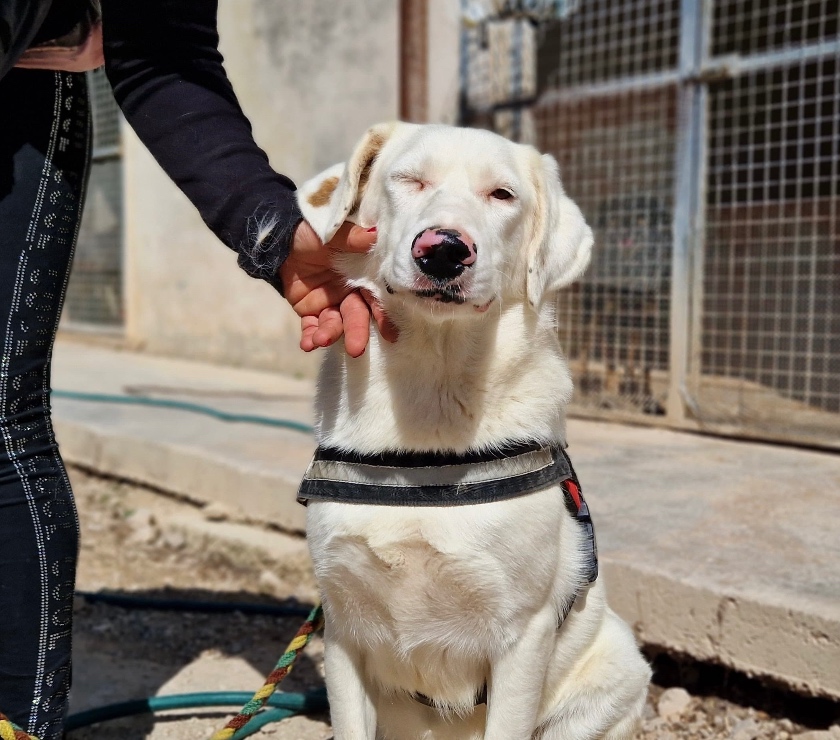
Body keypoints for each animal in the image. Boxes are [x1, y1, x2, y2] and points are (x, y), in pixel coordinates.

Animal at [296, 123, 648, 740]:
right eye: (409, 179)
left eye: (502, 195)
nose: (443, 249)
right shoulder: (342, 628)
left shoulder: (522, 636)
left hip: (613, 672)